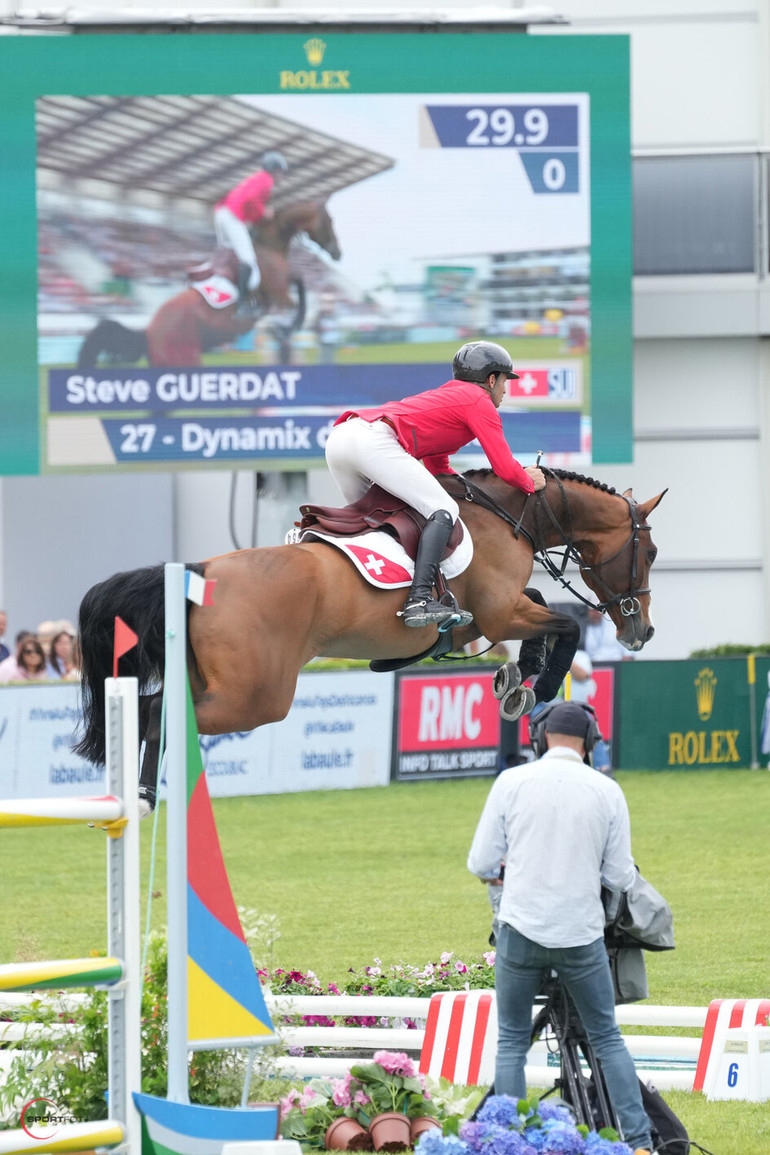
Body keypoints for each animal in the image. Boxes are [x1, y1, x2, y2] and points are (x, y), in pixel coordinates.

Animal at [73, 464, 669, 771]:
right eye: (652, 552)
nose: (641, 631)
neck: (513, 514)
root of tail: (199, 573)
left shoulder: (487, 617)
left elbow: (543, 605)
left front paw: (514, 676)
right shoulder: (500, 615)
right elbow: (565, 625)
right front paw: (537, 686)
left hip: (216, 683)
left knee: (150, 707)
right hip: (257, 697)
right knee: (157, 712)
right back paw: (143, 800)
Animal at [77, 200, 339, 367]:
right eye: (329, 221)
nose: (338, 253)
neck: (269, 245)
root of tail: (149, 333)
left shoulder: (282, 287)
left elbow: (300, 283)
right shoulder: (278, 294)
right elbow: (298, 297)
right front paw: (286, 327)